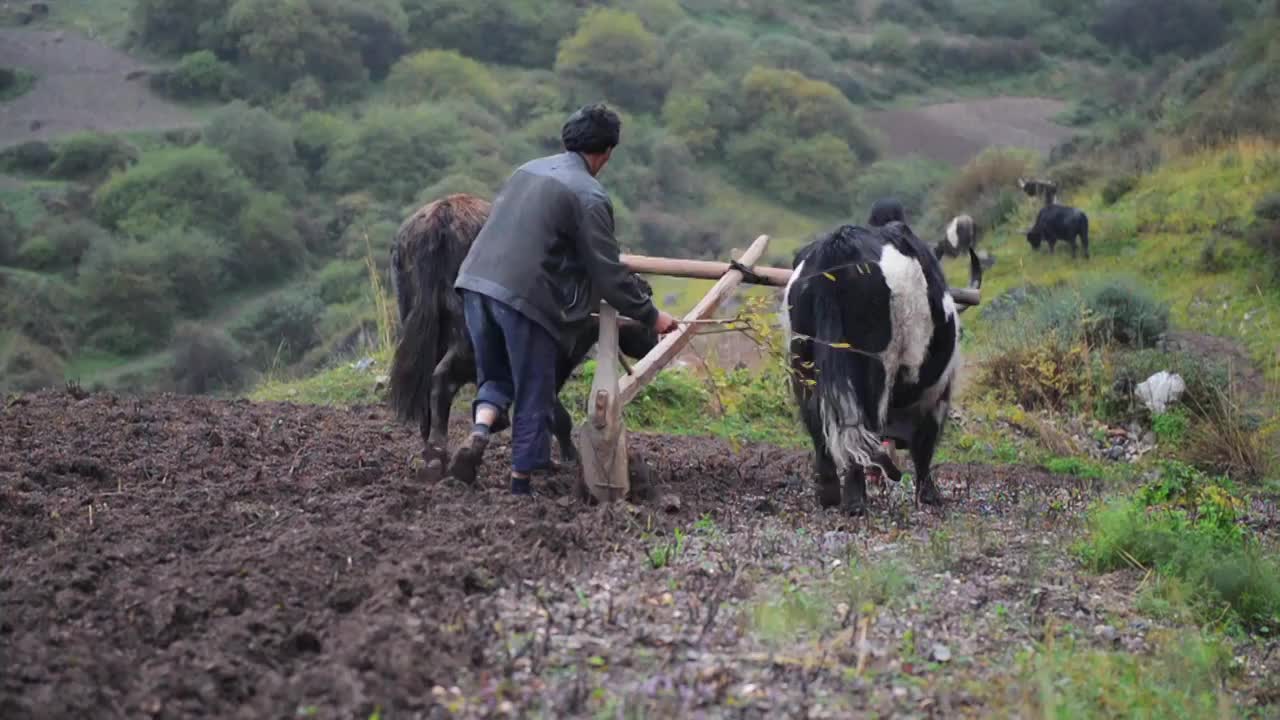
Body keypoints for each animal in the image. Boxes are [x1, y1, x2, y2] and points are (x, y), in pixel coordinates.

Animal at [778, 221, 977, 512]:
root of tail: (838, 247)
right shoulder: (938, 393)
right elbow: (925, 445)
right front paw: (929, 495)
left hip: (801, 358)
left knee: (817, 420)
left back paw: (829, 495)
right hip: (875, 365)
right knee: (861, 420)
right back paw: (855, 501)